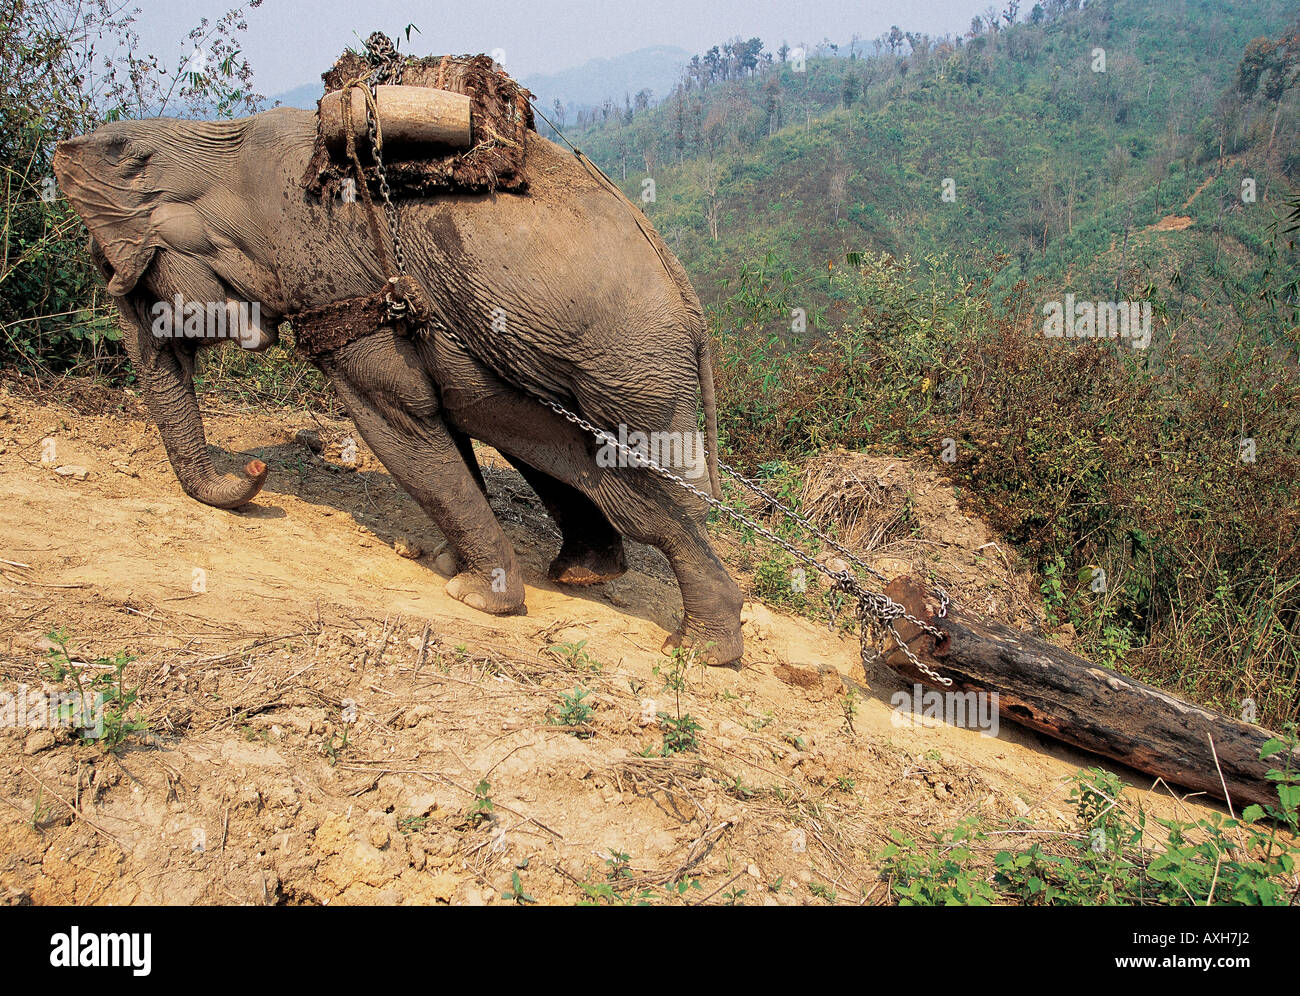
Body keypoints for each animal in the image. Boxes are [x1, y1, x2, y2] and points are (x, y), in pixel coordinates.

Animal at [53, 105, 743, 665]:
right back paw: (587, 577)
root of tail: (694, 308)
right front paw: (446, 565)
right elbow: (440, 424)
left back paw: (700, 649)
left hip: (631, 371)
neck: (217, 145)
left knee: (639, 488)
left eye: (123, 280)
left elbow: (396, 420)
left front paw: (474, 597)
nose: (254, 469)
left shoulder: (341, 281)